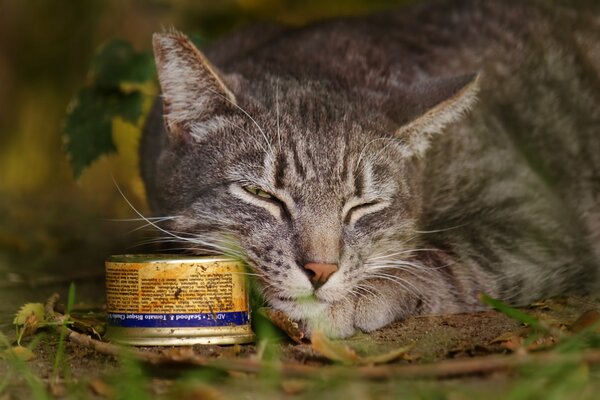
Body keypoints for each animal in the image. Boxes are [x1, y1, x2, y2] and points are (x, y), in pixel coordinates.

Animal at [141, 0, 600, 338]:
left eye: (364, 205)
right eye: (262, 195)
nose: (320, 271)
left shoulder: (536, 217)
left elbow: (442, 257)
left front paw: (359, 296)